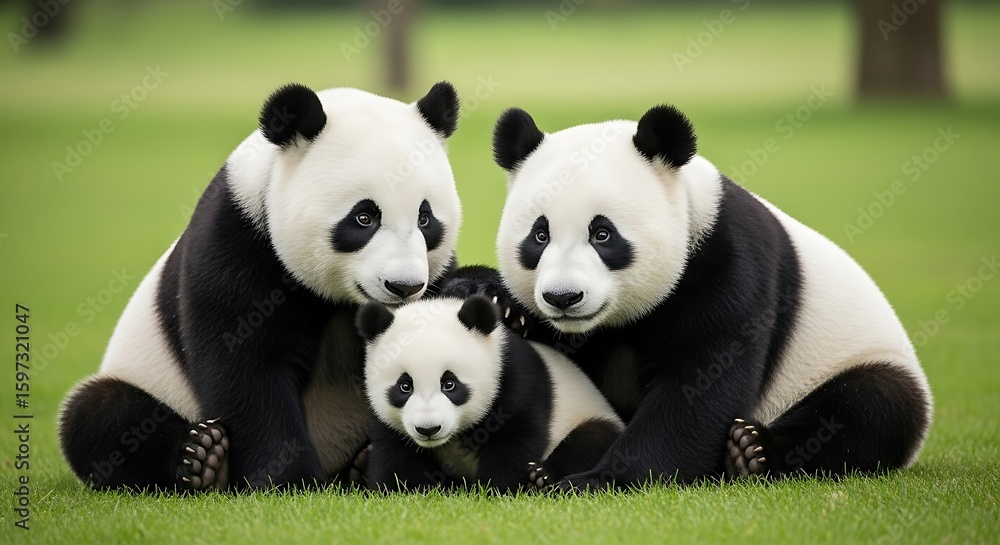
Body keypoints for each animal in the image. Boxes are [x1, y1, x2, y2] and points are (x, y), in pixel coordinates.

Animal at [58, 81, 465, 491]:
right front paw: (287, 479)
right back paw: (202, 459)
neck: (338, 299)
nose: (404, 286)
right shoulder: (240, 239)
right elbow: (246, 364)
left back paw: (361, 465)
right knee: (101, 416)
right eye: (363, 218)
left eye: (425, 218)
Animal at [354, 295, 625, 493]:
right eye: (405, 386)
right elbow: (395, 451)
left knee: (592, 438)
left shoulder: (513, 378)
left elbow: (516, 438)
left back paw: (541, 477)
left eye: (449, 384)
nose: (428, 429)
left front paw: (494, 491)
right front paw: (397, 491)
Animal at [476, 104, 933, 490]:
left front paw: (600, 480)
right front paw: (501, 305)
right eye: (540, 235)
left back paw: (751, 451)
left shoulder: (726, 263)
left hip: (852, 360)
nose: (563, 297)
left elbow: (698, 385)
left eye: (602, 234)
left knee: (871, 407)